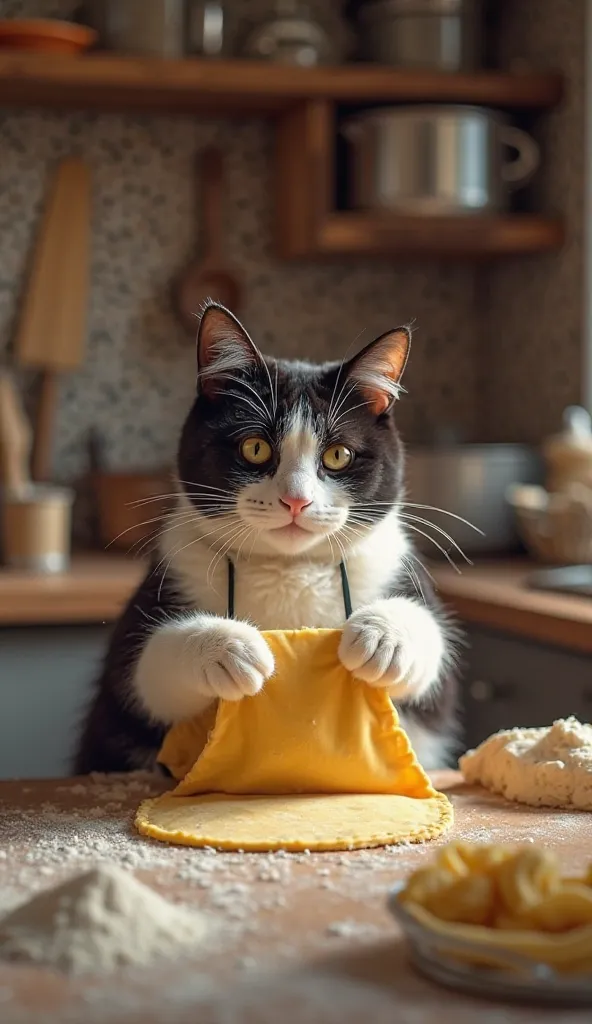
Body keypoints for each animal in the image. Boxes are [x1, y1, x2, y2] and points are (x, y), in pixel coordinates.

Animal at [74, 303, 456, 774]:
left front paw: (384, 636)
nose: (296, 500)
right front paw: (228, 648)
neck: (286, 570)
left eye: (338, 455)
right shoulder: (161, 590)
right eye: (255, 448)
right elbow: (143, 669)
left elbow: (435, 660)